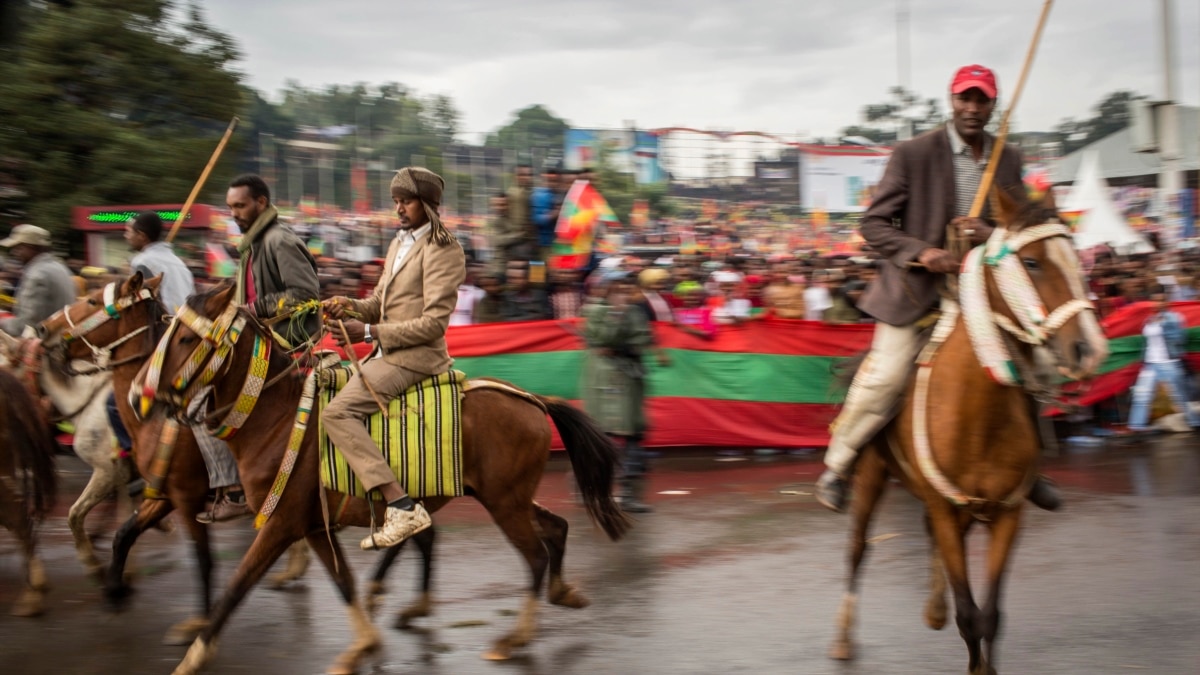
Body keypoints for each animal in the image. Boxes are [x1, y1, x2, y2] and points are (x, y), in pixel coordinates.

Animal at [140, 279, 628, 672]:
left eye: (185, 337)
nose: (144, 394)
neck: (275, 420)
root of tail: (532, 399)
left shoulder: (280, 523)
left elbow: (237, 586)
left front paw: (193, 656)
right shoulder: (312, 525)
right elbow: (344, 584)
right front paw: (363, 647)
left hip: (504, 503)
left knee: (535, 556)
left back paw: (514, 639)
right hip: (509, 497)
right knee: (556, 528)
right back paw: (562, 593)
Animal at [830, 190, 1108, 672]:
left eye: (1077, 257)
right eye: (1031, 262)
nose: (1088, 349)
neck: (979, 416)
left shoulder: (1007, 513)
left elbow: (990, 615)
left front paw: (985, 662)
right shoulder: (944, 507)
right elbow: (968, 614)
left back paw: (932, 608)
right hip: (871, 473)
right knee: (858, 547)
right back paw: (845, 637)